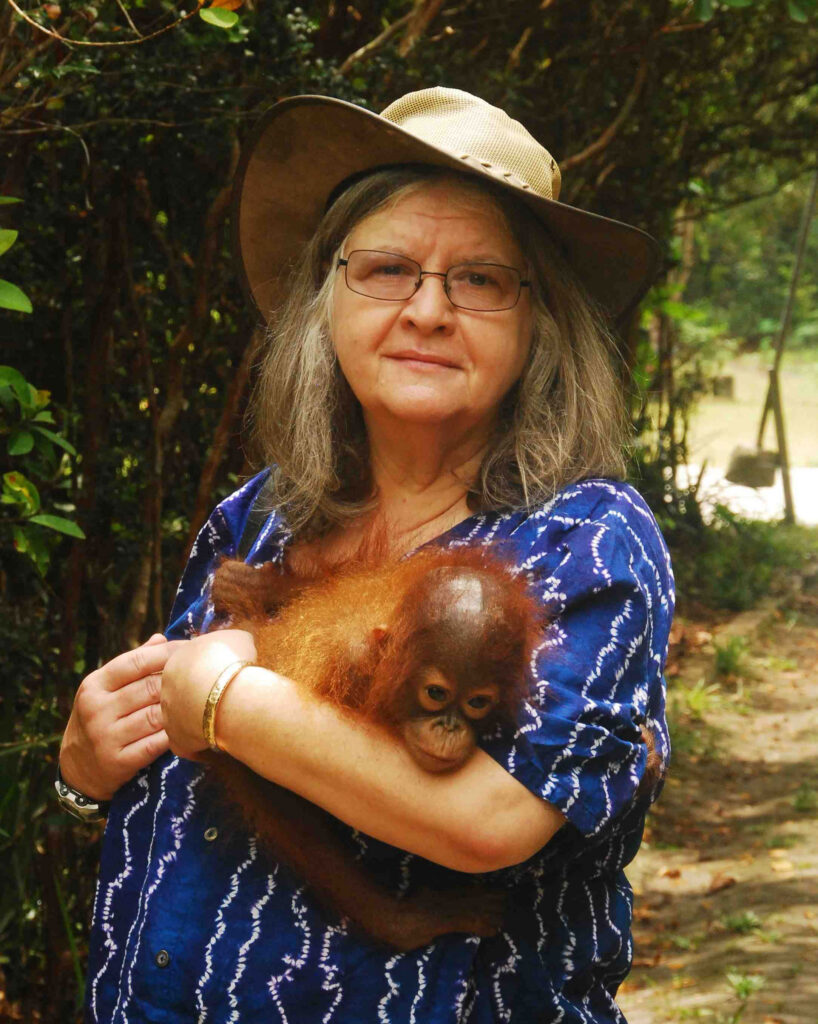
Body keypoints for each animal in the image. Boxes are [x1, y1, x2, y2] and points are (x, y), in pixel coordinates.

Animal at [202, 545, 542, 951]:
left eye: (477, 702)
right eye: (436, 693)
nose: (449, 727)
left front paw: (252, 584)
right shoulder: (353, 667)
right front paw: (405, 921)